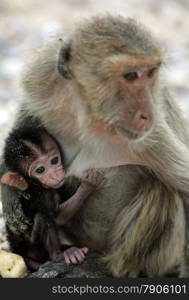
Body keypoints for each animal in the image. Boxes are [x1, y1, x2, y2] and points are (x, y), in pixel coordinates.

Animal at [1, 122, 102, 270]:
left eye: (54, 160)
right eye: (40, 170)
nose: (55, 175)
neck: (34, 184)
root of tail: (19, 251)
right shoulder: (42, 195)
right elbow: (58, 218)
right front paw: (88, 185)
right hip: (33, 246)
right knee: (42, 217)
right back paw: (61, 254)